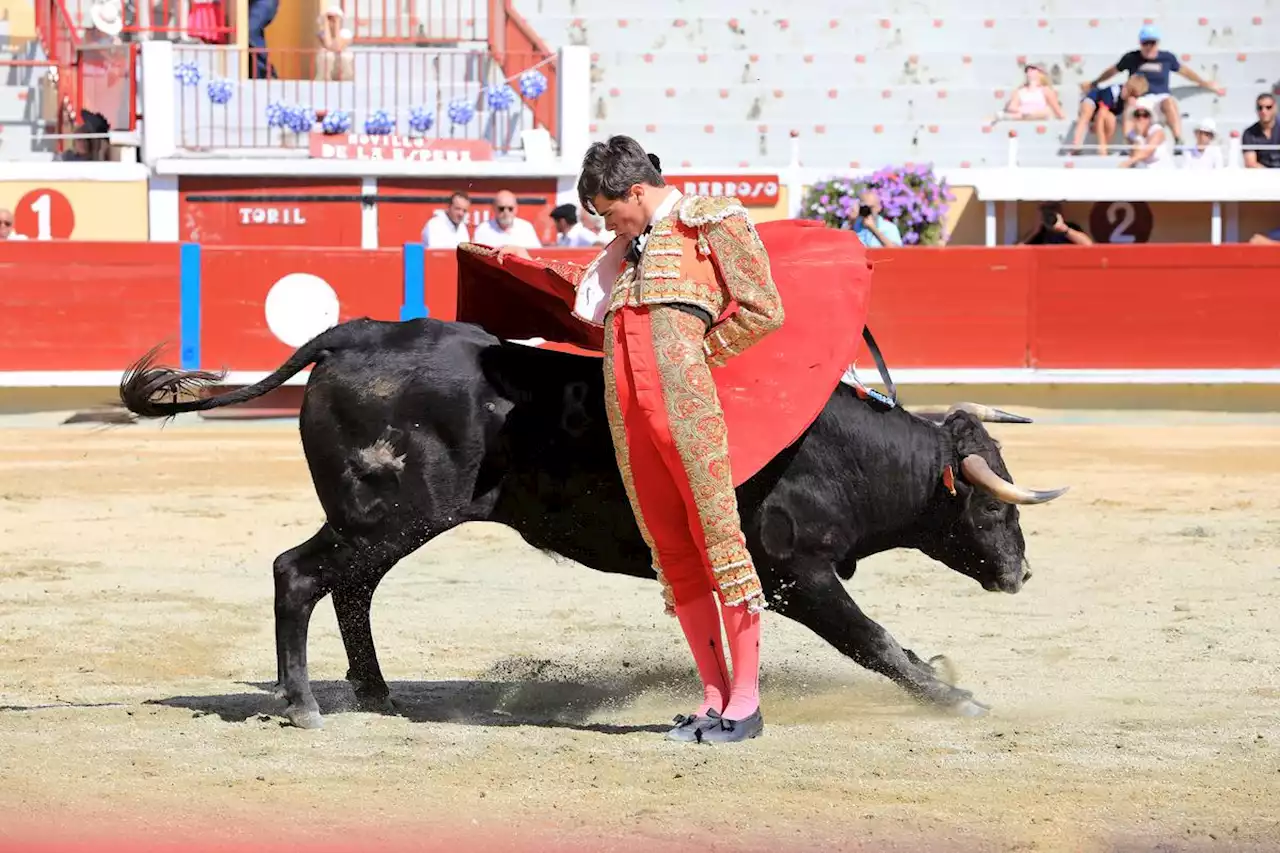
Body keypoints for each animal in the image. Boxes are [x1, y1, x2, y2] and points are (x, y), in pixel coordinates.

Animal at [120, 315, 1064, 727]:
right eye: (989, 501)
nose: (1021, 572)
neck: (833, 450)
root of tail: (353, 336)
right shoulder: (799, 572)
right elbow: (875, 641)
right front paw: (954, 692)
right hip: (386, 514)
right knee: (299, 574)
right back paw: (306, 704)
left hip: (392, 520)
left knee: (349, 589)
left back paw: (378, 694)